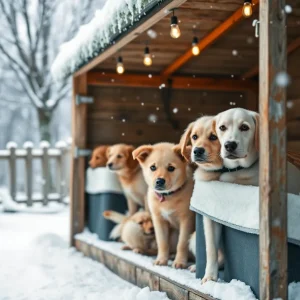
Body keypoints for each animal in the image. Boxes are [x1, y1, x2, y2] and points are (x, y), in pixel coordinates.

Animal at [179, 116, 224, 282]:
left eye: (214, 137)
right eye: (194, 137)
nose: (197, 150)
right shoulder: (210, 217)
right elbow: (211, 249)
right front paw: (210, 277)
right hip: (192, 238)